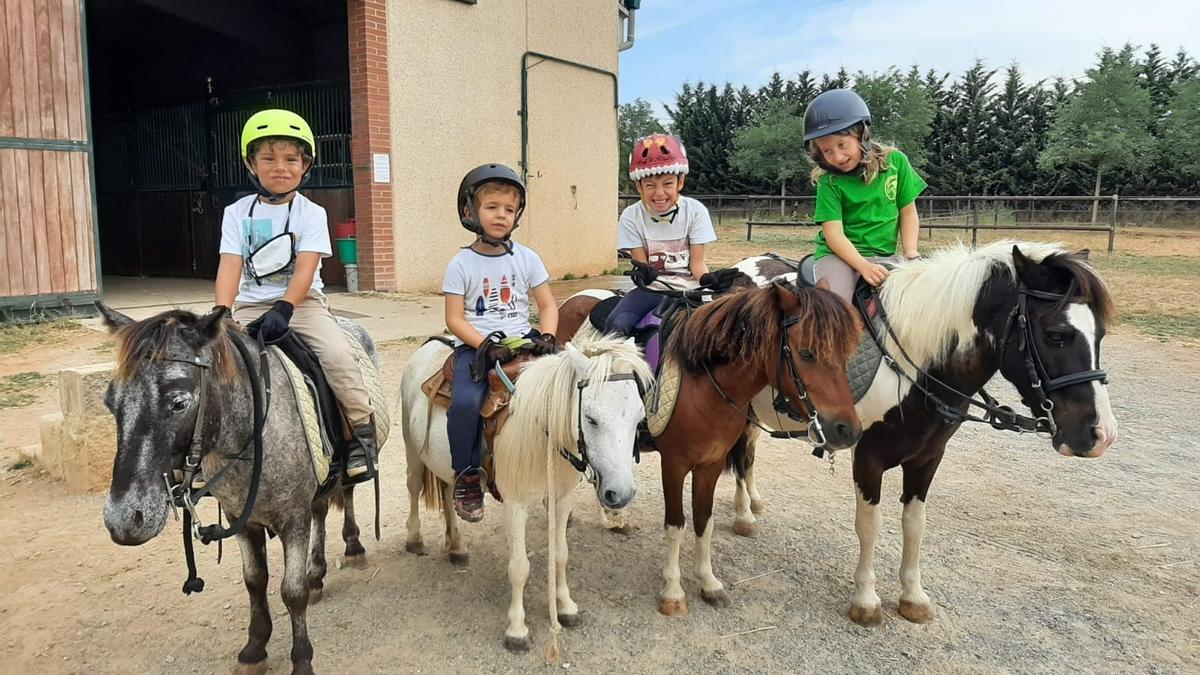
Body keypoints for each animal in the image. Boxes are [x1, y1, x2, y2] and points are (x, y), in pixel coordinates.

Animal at [398, 333, 652, 648]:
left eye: (638, 418)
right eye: (592, 419)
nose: (621, 493)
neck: (543, 428)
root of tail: (432, 344)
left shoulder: (561, 499)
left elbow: (561, 554)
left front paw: (566, 607)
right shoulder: (515, 504)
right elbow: (519, 567)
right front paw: (517, 629)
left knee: (447, 492)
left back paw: (457, 546)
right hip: (412, 450)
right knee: (413, 486)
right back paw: (415, 539)